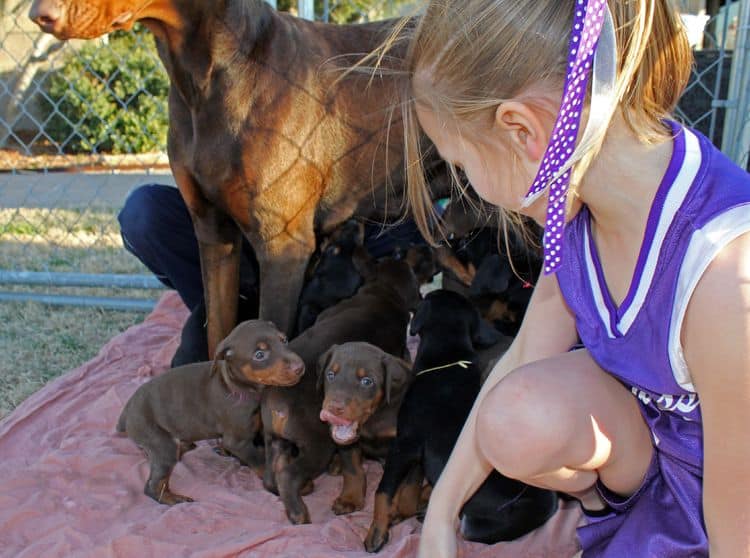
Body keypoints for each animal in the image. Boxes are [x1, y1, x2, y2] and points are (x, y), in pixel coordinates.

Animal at [117, 320, 306, 508]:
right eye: (259, 354)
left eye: (284, 340)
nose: (300, 367)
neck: (239, 386)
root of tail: (127, 410)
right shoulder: (238, 441)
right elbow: (258, 461)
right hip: (160, 443)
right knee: (153, 486)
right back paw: (174, 499)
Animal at [318, 344, 412, 520]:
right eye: (330, 375)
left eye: (367, 381)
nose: (333, 408)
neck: (374, 416)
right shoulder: (347, 445)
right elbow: (353, 470)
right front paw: (350, 499)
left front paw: (393, 507)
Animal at [364, 290, 560, 552]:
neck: (447, 362)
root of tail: (549, 504)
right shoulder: (419, 450)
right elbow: (410, 487)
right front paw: (402, 509)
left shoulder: (404, 443)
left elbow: (384, 490)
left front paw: (376, 531)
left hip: (476, 524)